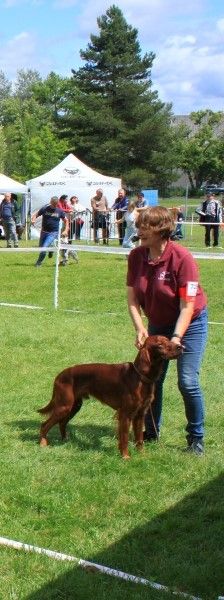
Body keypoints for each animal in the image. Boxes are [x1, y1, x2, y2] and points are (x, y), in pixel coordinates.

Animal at [38, 336, 182, 458]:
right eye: (160, 344)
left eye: (168, 339)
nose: (181, 346)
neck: (140, 377)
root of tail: (59, 375)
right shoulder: (125, 414)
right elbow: (124, 438)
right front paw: (125, 457)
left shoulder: (140, 415)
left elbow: (139, 438)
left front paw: (141, 455)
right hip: (64, 406)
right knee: (45, 424)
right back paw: (43, 443)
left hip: (74, 406)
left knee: (62, 423)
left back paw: (65, 440)